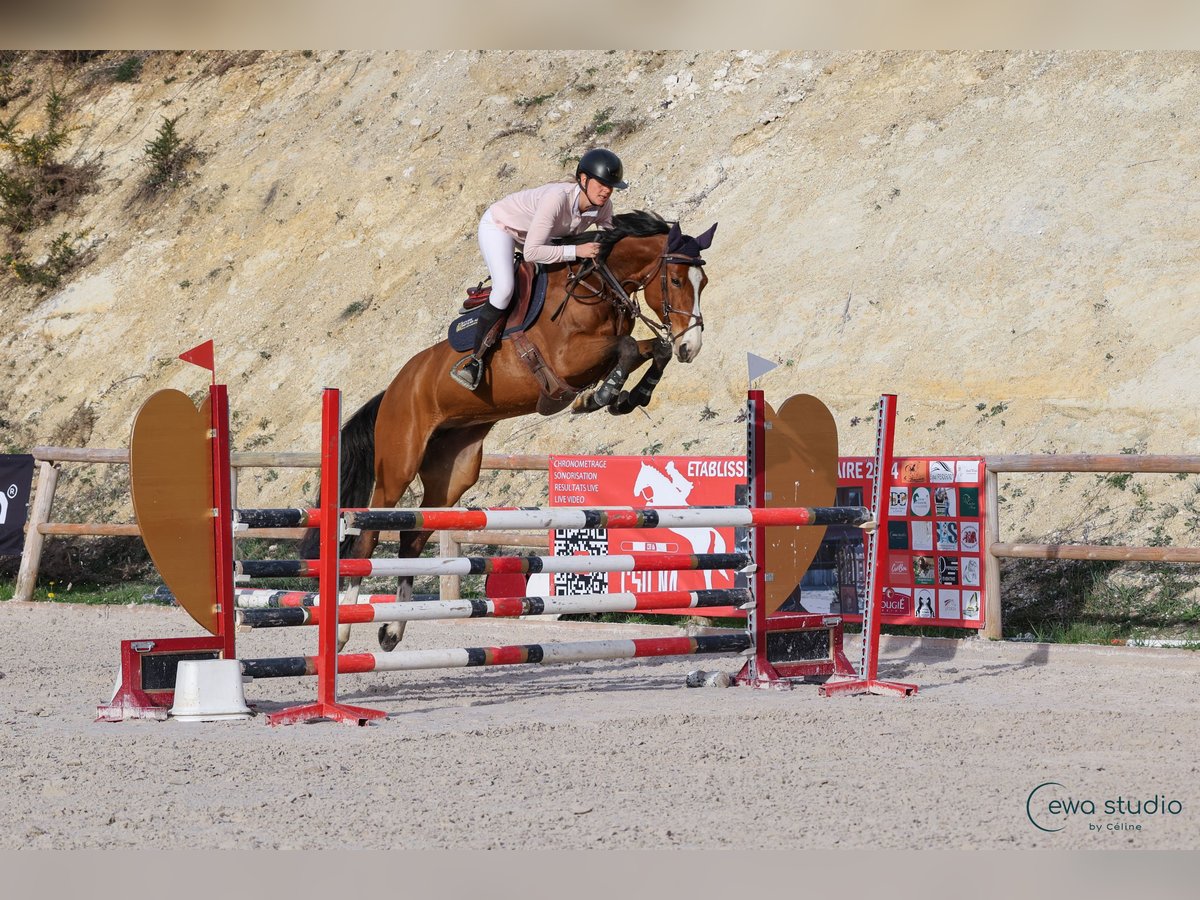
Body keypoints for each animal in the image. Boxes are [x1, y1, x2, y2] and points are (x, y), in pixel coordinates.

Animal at [300, 211, 715, 652]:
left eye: (703, 282)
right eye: (676, 281)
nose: (692, 346)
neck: (597, 287)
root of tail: (393, 389)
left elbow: (652, 348)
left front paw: (631, 396)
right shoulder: (568, 359)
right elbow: (628, 347)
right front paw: (601, 396)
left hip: (453, 472)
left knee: (413, 539)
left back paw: (393, 630)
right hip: (398, 465)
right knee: (369, 536)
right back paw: (343, 631)